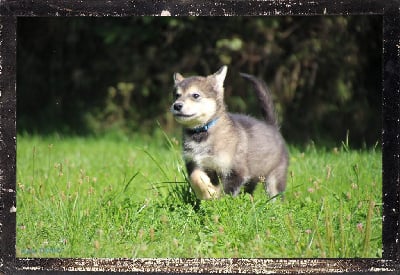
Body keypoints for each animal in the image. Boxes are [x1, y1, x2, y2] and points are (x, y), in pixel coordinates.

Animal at [170, 67, 290, 201]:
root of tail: (272, 126)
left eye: (195, 95)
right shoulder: (194, 163)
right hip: (253, 178)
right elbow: (196, 177)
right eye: (177, 95)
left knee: (276, 195)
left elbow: (225, 193)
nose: (176, 105)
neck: (202, 132)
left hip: (274, 178)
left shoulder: (236, 172)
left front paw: (217, 199)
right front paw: (207, 192)